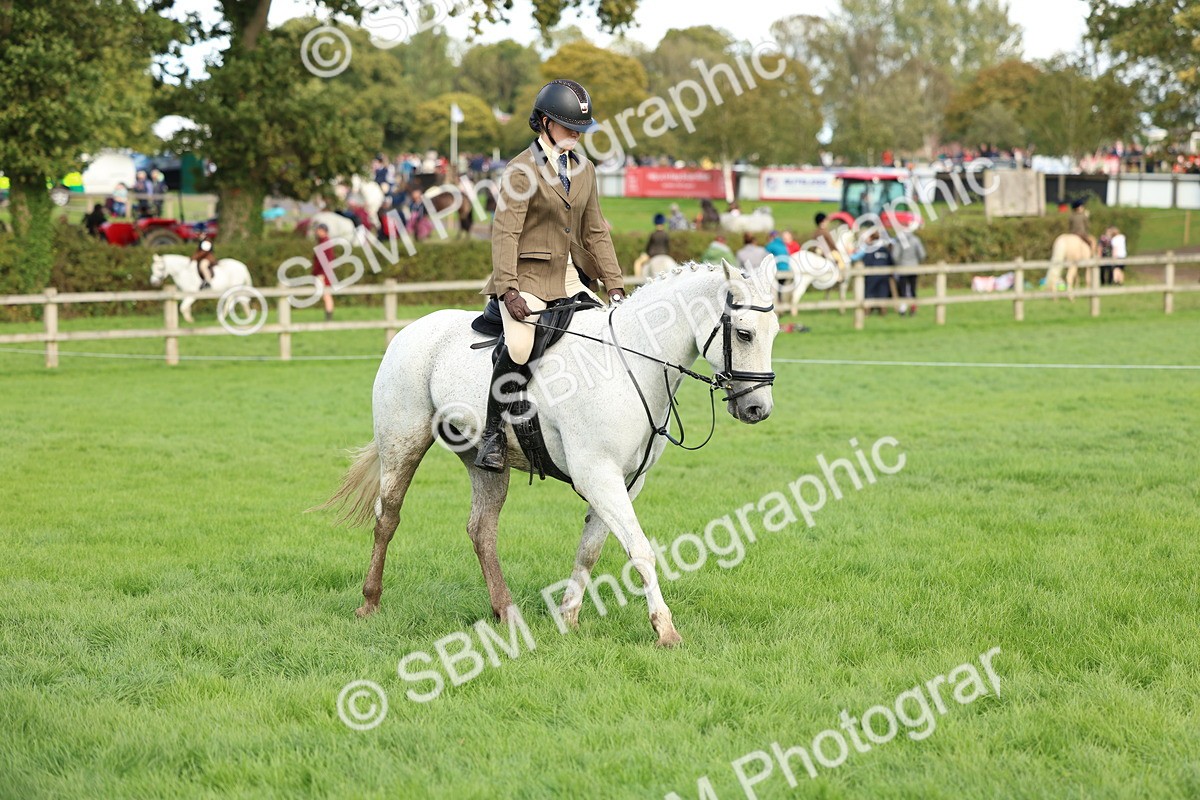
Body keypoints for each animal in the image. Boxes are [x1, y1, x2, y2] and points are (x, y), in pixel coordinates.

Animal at [319, 258, 781, 647]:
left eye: (775, 332)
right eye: (744, 333)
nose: (758, 409)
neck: (630, 362)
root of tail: (409, 332)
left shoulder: (625, 480)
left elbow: (591, 549)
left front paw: (568, 617)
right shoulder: (598, 474)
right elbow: (640, 548)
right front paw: (665, 630)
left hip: (484, 461)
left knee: (481, 530)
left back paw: (506, 614)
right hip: (404, 442)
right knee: (388, 517)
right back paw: (369, 602)